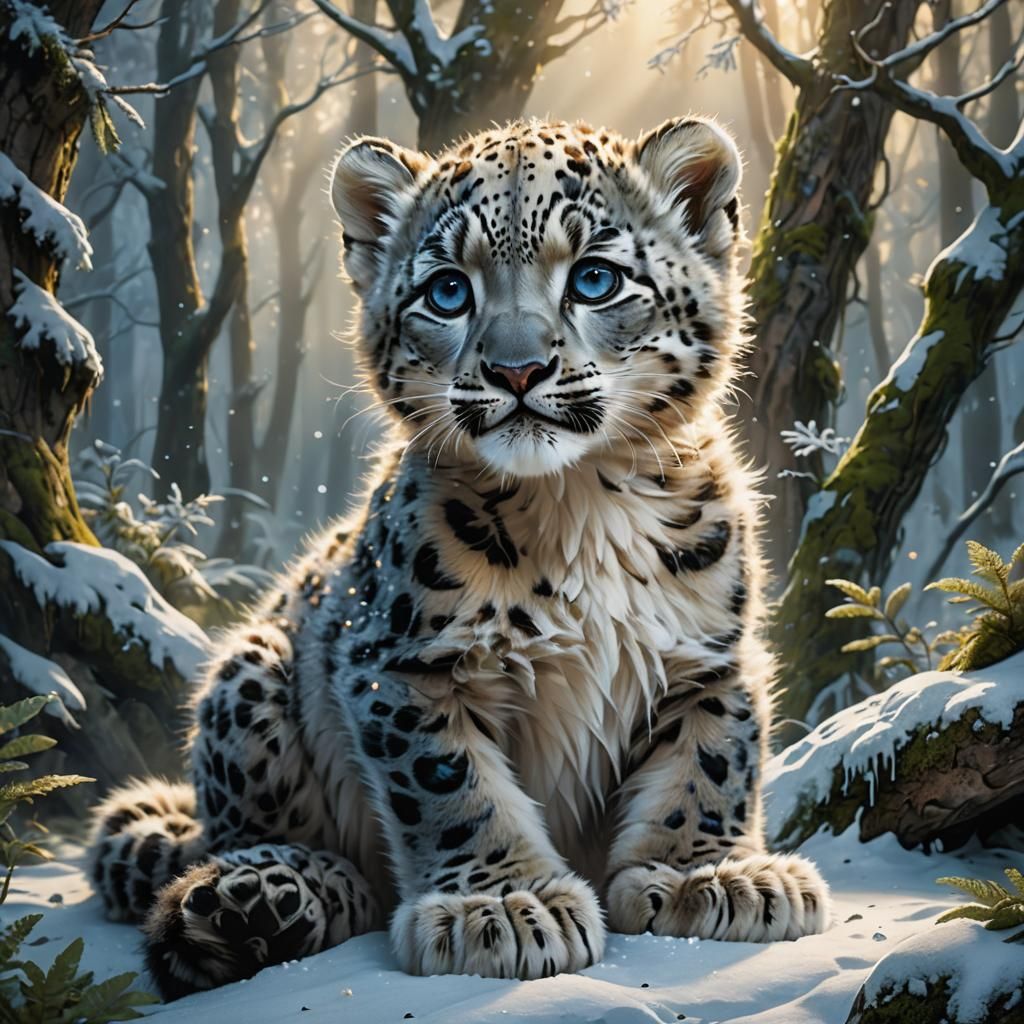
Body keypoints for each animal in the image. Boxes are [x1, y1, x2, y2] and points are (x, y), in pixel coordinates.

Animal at [89, 115, 831, 1000]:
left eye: (595, 279)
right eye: (448, 290)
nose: (517, 370)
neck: (582, 504)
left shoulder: (710, 655)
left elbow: (712, 760)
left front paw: (705, 875)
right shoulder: (403, 665)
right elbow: (452, 785)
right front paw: (507, 906)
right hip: (252, 674)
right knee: (249, 834)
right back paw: (266, 896)